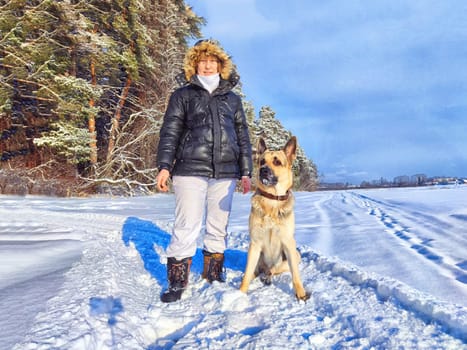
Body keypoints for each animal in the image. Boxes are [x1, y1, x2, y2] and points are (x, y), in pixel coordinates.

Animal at [241, 137, 310, 300]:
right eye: (262, 161)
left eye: (277, 162)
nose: (263, 170)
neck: (272, 201)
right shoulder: (255, 244)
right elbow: (247, 274)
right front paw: (239, 293)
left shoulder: (288, 243)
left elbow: (295, 275)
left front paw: (301, 294)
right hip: (255, 255)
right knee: (255, 271)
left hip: (293, 256)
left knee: (273, 270)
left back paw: (268, 276)